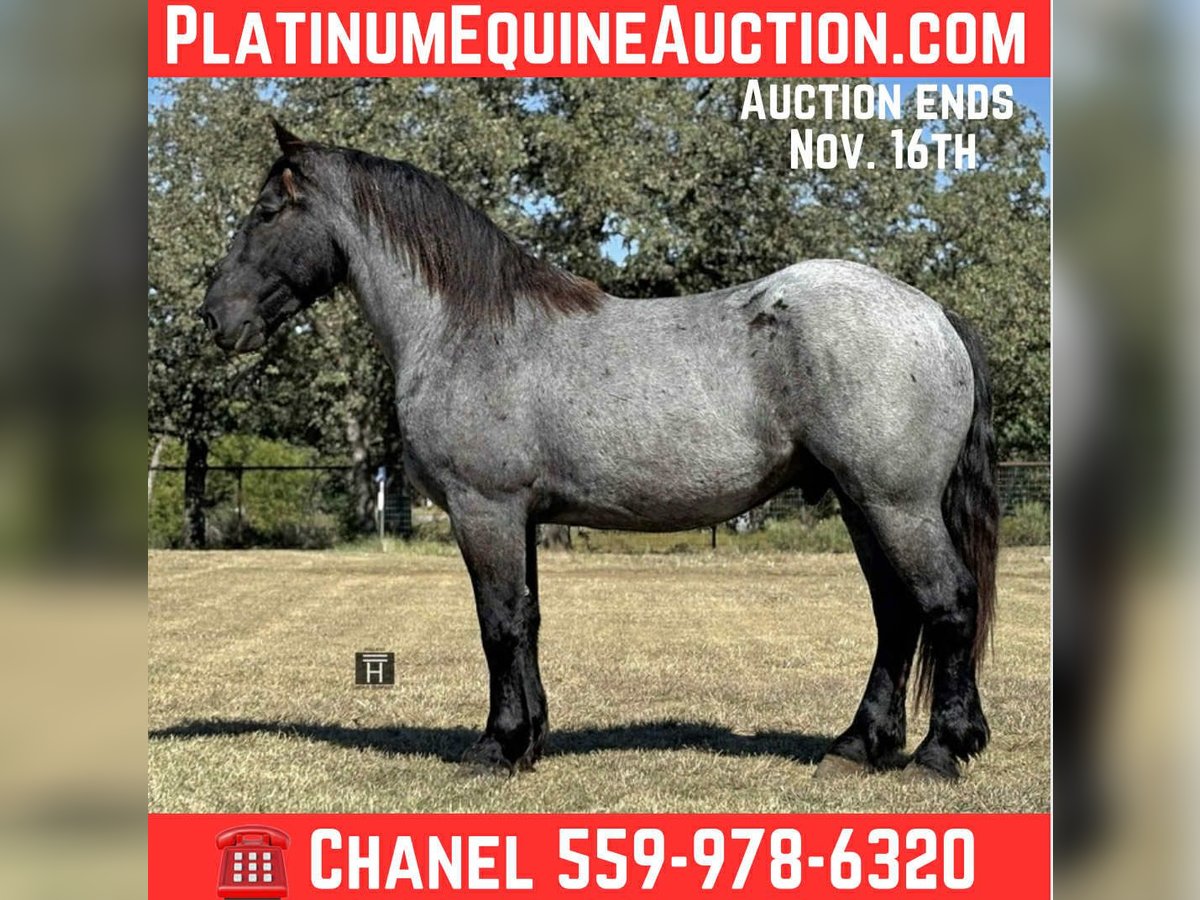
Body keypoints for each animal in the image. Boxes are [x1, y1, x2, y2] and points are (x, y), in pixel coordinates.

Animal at [200, 119, 998, 781]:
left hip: (896, 504)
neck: (466, 328)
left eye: (267, 211)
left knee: (947, 601)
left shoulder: (483, 509)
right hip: (862, 504)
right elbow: (526, 621)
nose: (215, 317)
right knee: (896, 613)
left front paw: (495, 747)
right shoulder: (519, 516)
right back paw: (858, 746)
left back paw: (938, 753)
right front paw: (529, 740)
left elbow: (498, 623)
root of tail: (932, 312)